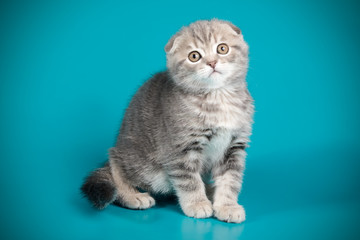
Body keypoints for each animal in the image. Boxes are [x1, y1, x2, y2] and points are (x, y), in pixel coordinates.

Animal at [80, 18, 255, 223]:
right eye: (194, 56)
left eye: (222, 48)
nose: (212, 62)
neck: (217, 97)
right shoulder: (180, 149)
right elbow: (189, 181)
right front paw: (197, 203)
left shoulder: (234, 147)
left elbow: (230, 180)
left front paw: (227, 206)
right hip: (141, 164)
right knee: (115, 164)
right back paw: (132, 195)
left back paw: (210, 190)